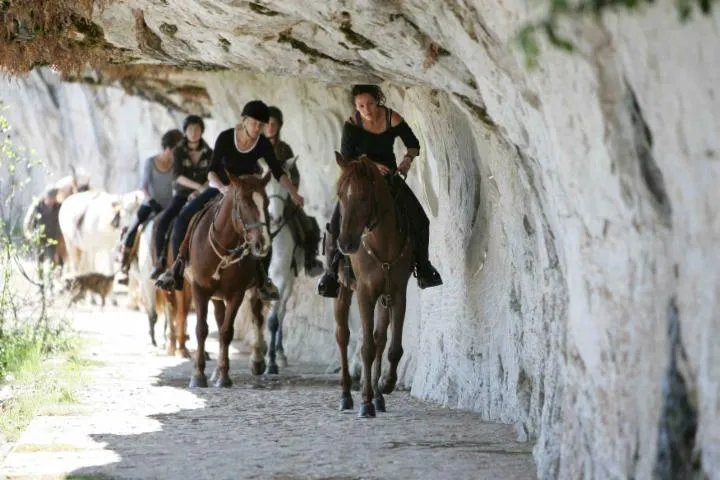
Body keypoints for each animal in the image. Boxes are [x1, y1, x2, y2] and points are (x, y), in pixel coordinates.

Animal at [184, 171, 274, 388]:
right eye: (244, 202)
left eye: (266, 202)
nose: (262, 243)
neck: (223, 250)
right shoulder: (199, 290)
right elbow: (201, 329)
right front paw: (198, 374)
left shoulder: (236, 293)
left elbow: (226, 331)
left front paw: (224, 376)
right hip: (216, 295)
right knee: (217, 319)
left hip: (252, 291)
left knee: (257, 317)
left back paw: (257, 361)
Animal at [334, 153, 414, 416]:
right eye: (340, 195)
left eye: (363, 196)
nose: (345, 244)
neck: (383, 242)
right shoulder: (364, 293)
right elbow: (366, 347)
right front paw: (365, 401)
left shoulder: (397, 293)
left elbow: (392, 346)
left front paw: (385, 385)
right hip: (342, 291)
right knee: (343, 336)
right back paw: (346, 395)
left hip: (383, 297)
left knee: (380, 338)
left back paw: (378, 395)